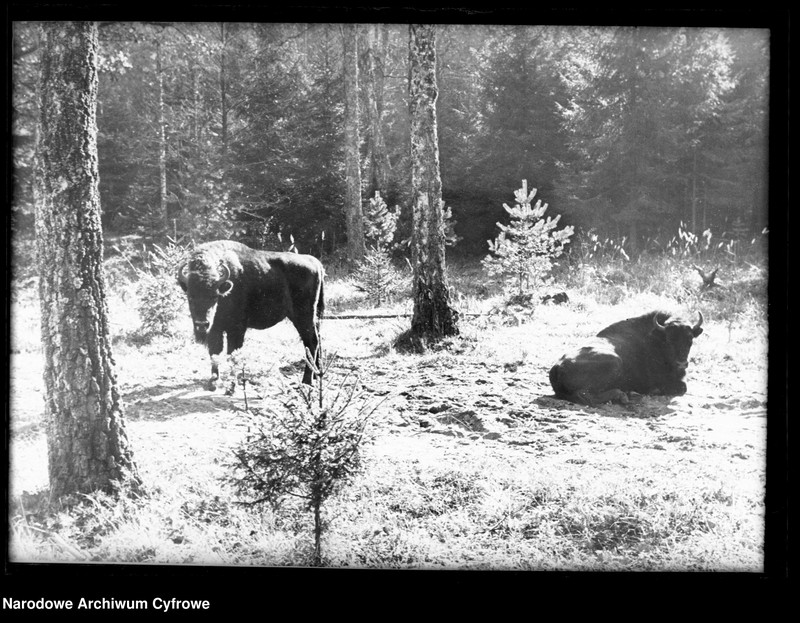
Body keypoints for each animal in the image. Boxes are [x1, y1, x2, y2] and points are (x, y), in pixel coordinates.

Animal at [177, 240, 324, 390]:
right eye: (190, 297)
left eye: (214, 296)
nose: (201, 324)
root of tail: (316, 263)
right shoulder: (215, 329)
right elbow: (215, 352)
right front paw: (213, 381)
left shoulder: (236, 329)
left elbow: (233, 353)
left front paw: (232, 385)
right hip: (314, 317)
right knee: (318, 339)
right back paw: (317, 375)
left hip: (303, 317)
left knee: (311, 342)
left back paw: (306, 381)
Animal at [548, 310, 704, 408]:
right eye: (668, 339)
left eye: (690, 338)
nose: (681, 363)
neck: (655, 339)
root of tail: (557, 366)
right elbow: (682, 387)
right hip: (615, 362)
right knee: (585, 394)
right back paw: (623, 395)